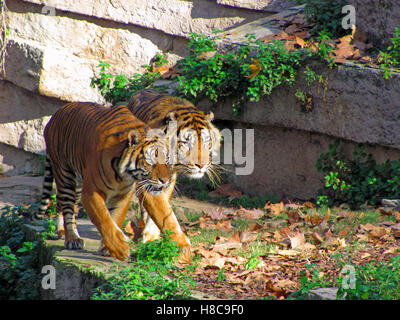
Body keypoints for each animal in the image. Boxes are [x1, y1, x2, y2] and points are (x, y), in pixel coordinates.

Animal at [38, 102, 189, 260]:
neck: (123, 174)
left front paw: (107, 248)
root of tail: (54, 116)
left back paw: (63, 232)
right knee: (67, 206)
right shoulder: (91, 192)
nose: (166, 180)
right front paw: (121, 249)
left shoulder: (124, 195)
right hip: (65, 176)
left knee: (63, 204)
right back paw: (72, 238)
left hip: (77, 184)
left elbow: (117, 218)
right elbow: (104, 220)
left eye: (167, 159)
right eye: (151, 160)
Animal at [126, 89, 222, 245]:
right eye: (186, 143)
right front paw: (181, 243)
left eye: (206, 141)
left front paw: (152, 235)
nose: (201, 165)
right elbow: (162, 211)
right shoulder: (149, 181)